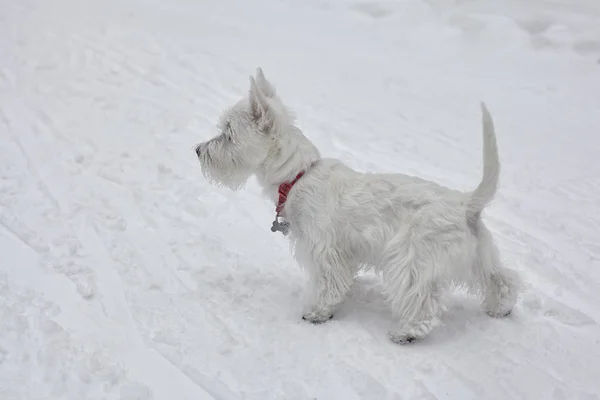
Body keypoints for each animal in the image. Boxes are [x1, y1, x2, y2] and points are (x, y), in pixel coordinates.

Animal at [196, 69, 520, 344]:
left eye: (228, 133)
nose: (198, 150)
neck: (297, 176)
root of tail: (466, 205)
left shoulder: (325, 249)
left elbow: (329, 285)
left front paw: (318, 313)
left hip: (411, 260)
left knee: (422, 301)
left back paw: (407, 333)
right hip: (479, 256)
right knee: (501, 279)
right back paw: (500, 307)